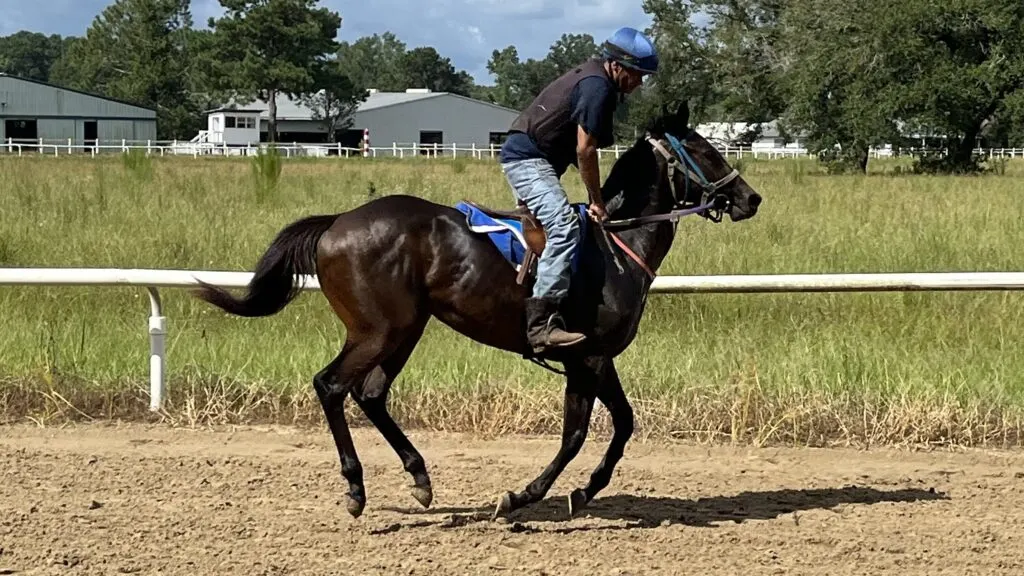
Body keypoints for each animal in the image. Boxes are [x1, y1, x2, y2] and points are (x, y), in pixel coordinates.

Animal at [195, 101, 765, 520]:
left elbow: (618, 425)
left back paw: (420, 477)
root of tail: (338, 222)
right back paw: (356, 489)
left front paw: (581, 491)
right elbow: (582, 433)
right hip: (377, 330)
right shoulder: (588, 358)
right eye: (703, 148)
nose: (751, 198)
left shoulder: (592, 359)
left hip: (406, 328)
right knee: (332, 386)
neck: (615, 246)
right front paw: (525, 495)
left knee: (371, 394)